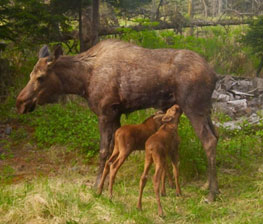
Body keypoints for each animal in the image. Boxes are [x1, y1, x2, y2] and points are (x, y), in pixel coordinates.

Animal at [15, 39, 220, 201]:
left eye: (41, 77)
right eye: (30, 74)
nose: (20, 103)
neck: (83, 82)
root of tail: (215, 75)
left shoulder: (106, 112)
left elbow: (103, 151)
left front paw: (97, 186)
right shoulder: (116, 114)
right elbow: (113, 151)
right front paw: (106, 185)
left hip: (194, 107)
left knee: (209, 140)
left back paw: (212, 193)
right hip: (205, 109)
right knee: (216, 136)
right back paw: (208, 186)